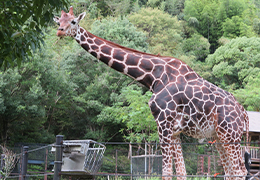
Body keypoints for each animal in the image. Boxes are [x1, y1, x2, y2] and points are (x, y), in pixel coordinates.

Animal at [53, 6, 250, 179]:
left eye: (73, 21)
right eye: (59, 22)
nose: (60, 32)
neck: (153, 76)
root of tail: (244, 114)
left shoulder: (163, 122)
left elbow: (166, 172)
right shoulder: (175, 131)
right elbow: (181, 172)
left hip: (229, 134)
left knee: (239, 171)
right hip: (219, 136)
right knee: (231, 171)